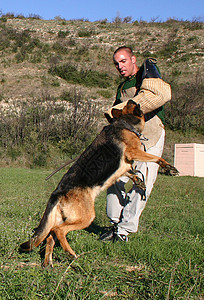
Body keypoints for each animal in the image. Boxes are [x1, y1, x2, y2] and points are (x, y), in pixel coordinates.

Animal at [19, 101, 178, 268]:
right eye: (130, 104)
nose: (133, 100)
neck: (124, 124)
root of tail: (57, 192)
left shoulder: (124, 166)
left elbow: (130, 172)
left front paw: (139, 181)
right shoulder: (133, 152)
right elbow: (155, 157)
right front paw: (168, 167)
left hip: (61, 218)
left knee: (50, 236)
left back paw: (48, 263)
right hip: (86, 217)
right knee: (59, 230)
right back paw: (71, 253)